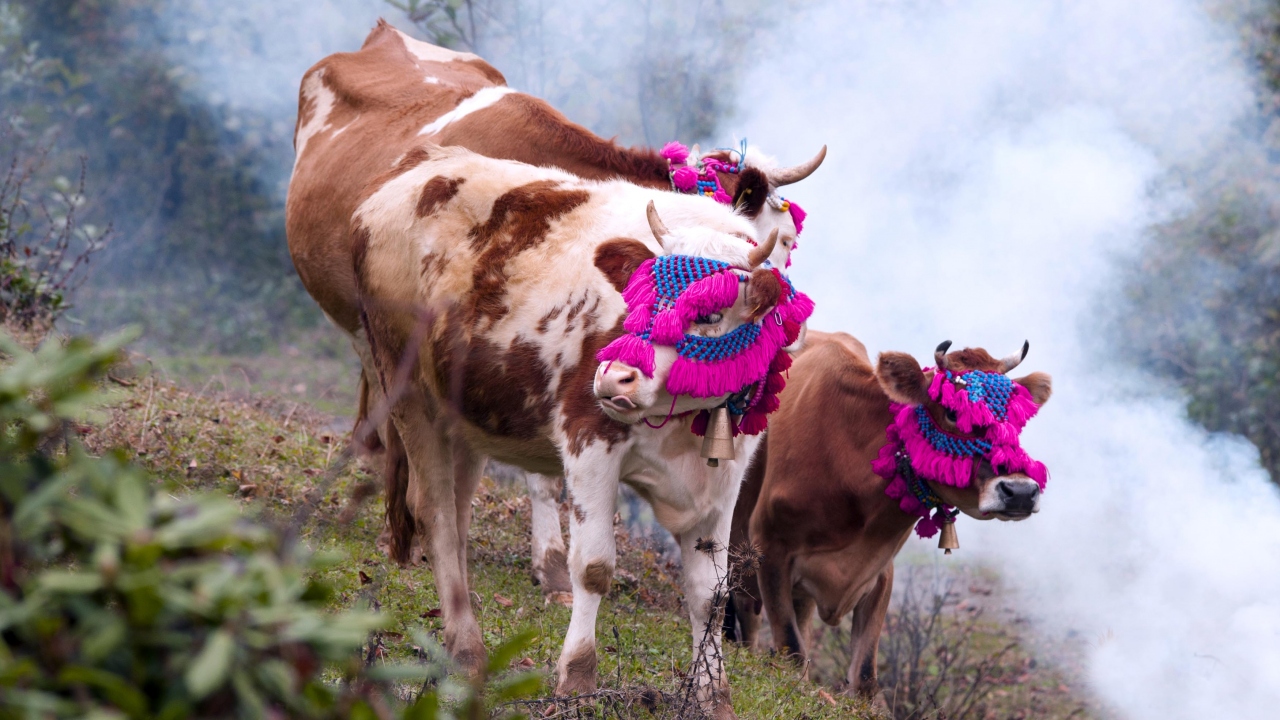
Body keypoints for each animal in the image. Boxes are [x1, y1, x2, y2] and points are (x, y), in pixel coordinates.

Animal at [350, 142, 803, 712]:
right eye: (637, 296)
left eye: (709, 313)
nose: (614, 376)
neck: (685, 427)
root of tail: (412, 173)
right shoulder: (590, 440)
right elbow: (593, 566)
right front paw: (578, 677)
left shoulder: (725, 478)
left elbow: (711, 595)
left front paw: (714, 697)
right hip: (406, 387)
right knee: (434, 513)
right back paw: (468, 651)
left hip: (463, 413)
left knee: (455, 511)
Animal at [727, 330, 1054, 696]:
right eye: (952, 412)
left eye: (1016, 417)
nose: (1020, 492)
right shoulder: (769, 548)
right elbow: (792, 651)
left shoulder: (880, 571)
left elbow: (864, 676)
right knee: (747, 618)